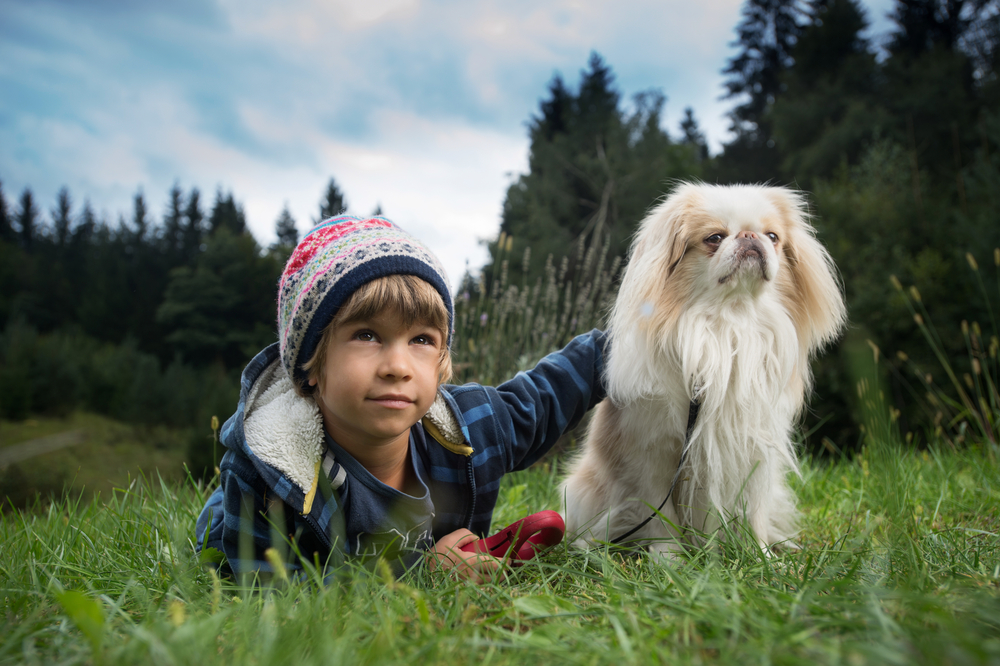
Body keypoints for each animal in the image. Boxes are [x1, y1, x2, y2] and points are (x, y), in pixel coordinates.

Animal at [564, 183, 844, 556]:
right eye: (714, 238)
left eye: (772, 237)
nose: (750, 237)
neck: (730, 321)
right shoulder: (654, 454)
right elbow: (659, 513)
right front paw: (669, 558)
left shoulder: (754, 449)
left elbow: (754, 511)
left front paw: (762, 556)